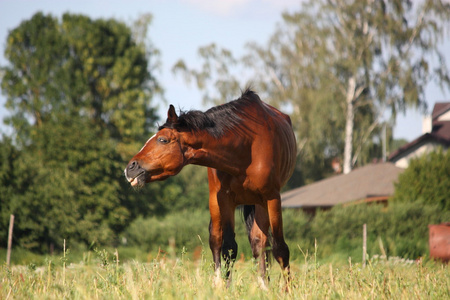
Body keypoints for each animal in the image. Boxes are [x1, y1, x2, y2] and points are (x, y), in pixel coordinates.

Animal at [125, 90, 298, 288]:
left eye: (163, 139)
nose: (130, 168)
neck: (246, 147)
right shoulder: (225, 198)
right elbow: (228, 246)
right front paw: (225, 287)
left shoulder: (272, 197)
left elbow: (280, 248)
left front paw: (287, 289)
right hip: (216, 201)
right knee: (218, 239)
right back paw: (220, 282)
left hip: (260, 203)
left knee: (260, 242)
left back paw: (263, 285)